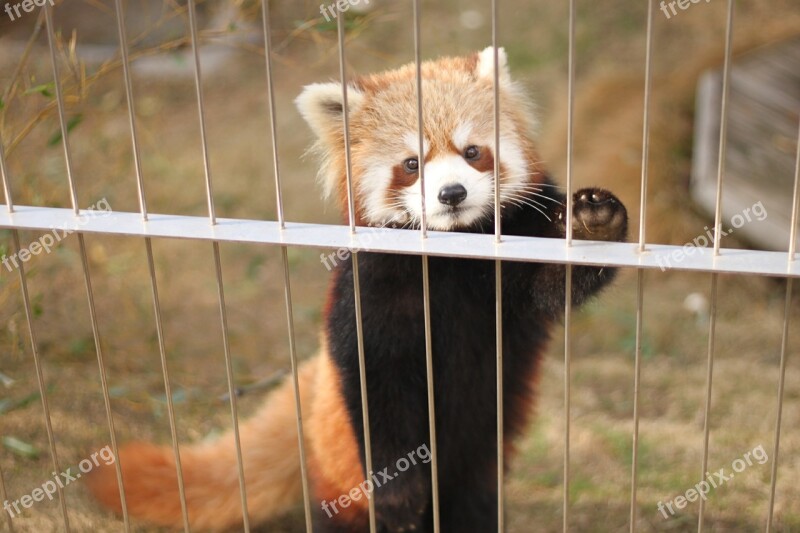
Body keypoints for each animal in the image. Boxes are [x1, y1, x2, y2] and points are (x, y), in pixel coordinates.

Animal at [86, 46, 624, 532]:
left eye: (472, 152)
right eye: (411, 164)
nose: (452, 194)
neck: (452, 250)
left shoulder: (512, 252)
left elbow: (554, 280)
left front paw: (591, 222)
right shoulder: (371, 286)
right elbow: (374, 387)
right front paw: (398, 496)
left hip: (480, 462)